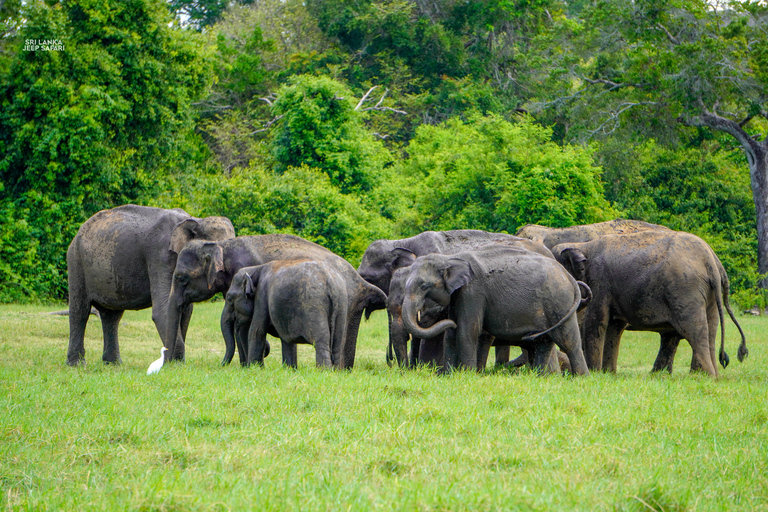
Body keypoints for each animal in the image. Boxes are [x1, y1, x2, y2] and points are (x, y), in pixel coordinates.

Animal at [65, 202, 234, 366]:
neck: (196, 220)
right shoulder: (160, 255)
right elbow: (163, 308)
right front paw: (175, 365)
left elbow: (186, 310)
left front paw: (175, 362)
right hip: (76, 260)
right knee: (80, 310)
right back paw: (76, 364)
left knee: (111, 315)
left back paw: (113, 364)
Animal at [166, 234, 388, 370]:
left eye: (181, 278)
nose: (169, 365)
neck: (221, 245)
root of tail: (362, 283)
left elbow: (249, 328)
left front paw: (251, 365)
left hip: (347, 305)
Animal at [400, 246, 592, 374]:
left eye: (424, 286)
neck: (450, 258)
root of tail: (568, 276)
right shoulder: (459, 295)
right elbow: (452, 335)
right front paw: (449, 375)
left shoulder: (473, 292)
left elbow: (468, 331)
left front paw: (467, 374)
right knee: (543, 343)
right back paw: (541, 378)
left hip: (560, 303)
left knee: (568, 342)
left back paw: (581, 378)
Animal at [552, 231, 752, 376]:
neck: (583, 245)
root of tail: (711, 260)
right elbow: (614, 327)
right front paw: (608, 374)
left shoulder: (599, 280)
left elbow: (596, 322)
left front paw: (595, 373)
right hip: (707, 293)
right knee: (710, 329)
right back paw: (704, 376)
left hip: (684, 289)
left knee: (693, 330)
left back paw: (704, 377)